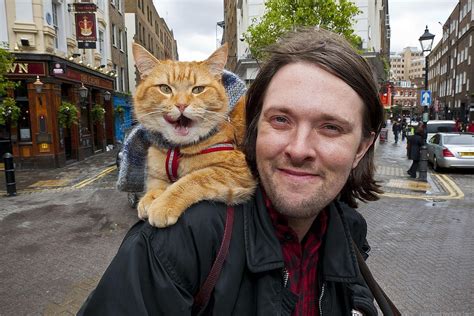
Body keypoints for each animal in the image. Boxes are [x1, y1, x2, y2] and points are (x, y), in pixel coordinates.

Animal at [130, 43, 256, 228]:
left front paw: (163, 203)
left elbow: (193, 179)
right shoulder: (156, 172)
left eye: (198, 89)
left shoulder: (236, 170)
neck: (176, 149)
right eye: (165, 88)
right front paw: (149, 198)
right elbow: (155, 184)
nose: (181, 105)